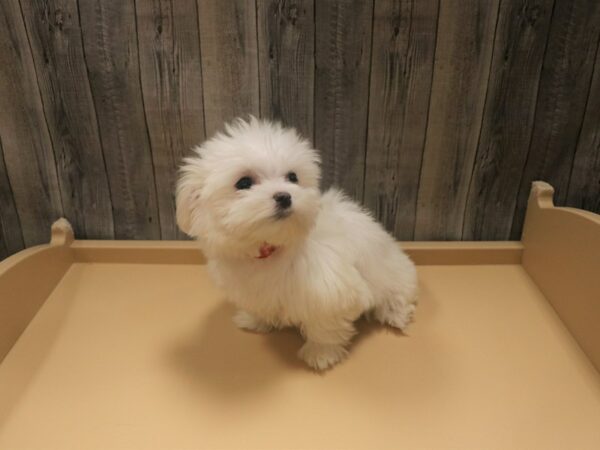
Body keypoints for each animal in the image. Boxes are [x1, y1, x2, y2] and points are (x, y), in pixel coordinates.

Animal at [173, 118, 418, 370]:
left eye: (292, 177)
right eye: (244, 182)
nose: (284, 196)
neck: (272, 247)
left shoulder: (331, 292)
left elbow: (325, 327)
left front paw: (321, 353)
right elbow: (259, 306)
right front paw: (255, 320)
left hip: (395, 276)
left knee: (397, 297)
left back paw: (396, 314)